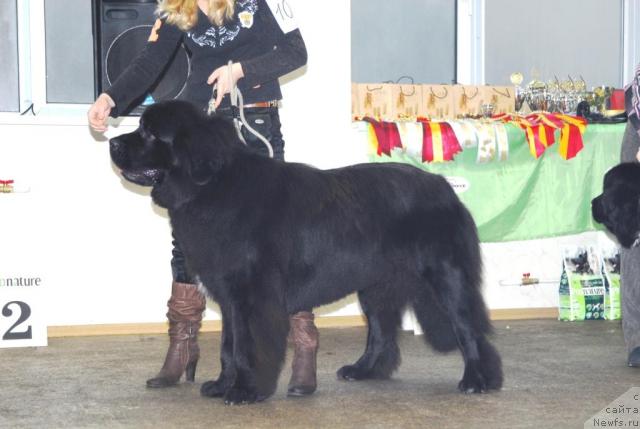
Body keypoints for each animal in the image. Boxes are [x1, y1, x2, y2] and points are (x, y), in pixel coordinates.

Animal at [109, 98, 500, 402]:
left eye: (149, 133)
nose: (112, 142)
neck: (213, 187)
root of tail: (444, 187)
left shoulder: (253, 294)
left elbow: (247, 345)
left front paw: (246, 391)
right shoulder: (231, 296)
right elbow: (228, 345)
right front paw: (221, 385)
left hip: (446, 276)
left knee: (468, 326)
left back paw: (479, 380)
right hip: (376, 284)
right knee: (382, 332)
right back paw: (363, 370)